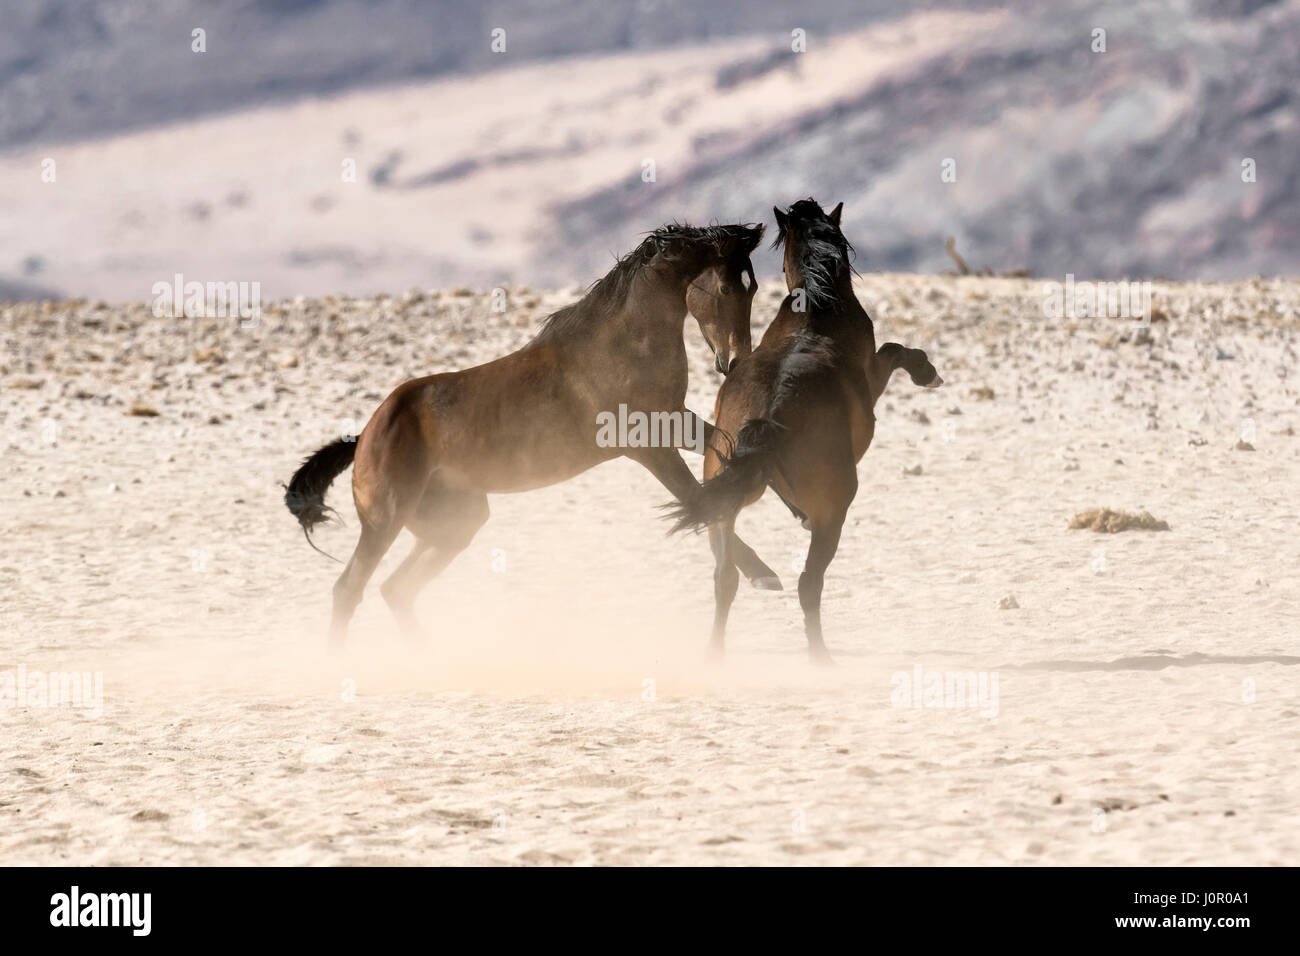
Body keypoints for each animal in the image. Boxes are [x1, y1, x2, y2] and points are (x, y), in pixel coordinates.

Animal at [284, 223, 780, 650]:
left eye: (753, 287)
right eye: (725, 288)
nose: (734, 361)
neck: (620, 345)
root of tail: (364, 437)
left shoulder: (674, 419)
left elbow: (721, 455)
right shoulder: (647, 446)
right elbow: (695, 497)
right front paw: (761, 572)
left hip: (455, 523)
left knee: (396, 589)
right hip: (385, 521)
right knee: (350, 588)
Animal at [676, 200, 941, 665]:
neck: (818, 309)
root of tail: (772, 409)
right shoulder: (873, 378)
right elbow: (893, 351)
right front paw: (925, 370)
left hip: (725, 497)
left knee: (725, 576)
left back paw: (715, 655)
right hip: (832, 509)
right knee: (808, 582)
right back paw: (821, 657)